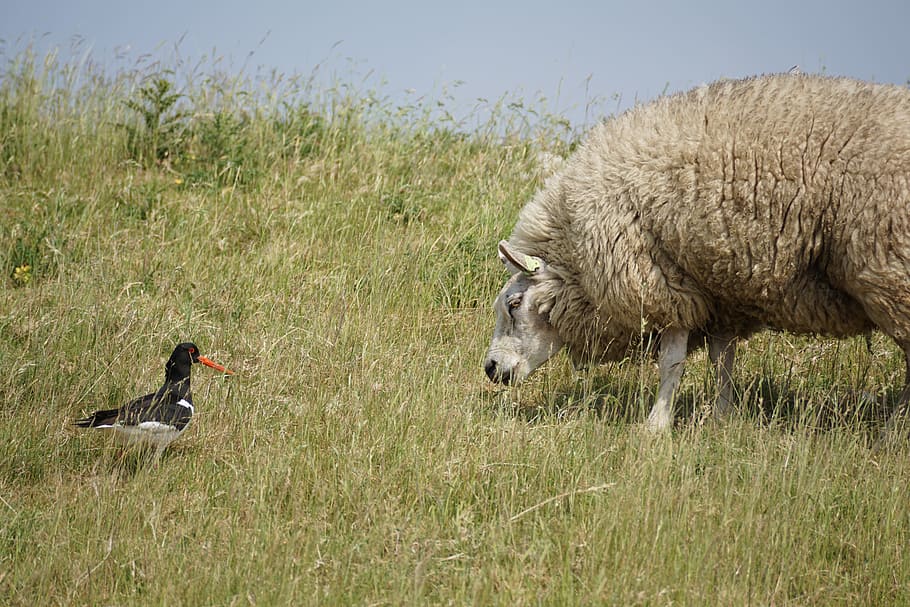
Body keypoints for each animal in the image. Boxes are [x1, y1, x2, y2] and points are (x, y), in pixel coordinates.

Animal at [483, 73, 910, 432]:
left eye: (514, 305)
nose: (490, 368)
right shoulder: (719, 294)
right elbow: (723, 360)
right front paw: (721, 417)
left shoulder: (664, 284)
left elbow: (671, 362)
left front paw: (656, 426)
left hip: (890, 275)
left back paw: (892, 432)